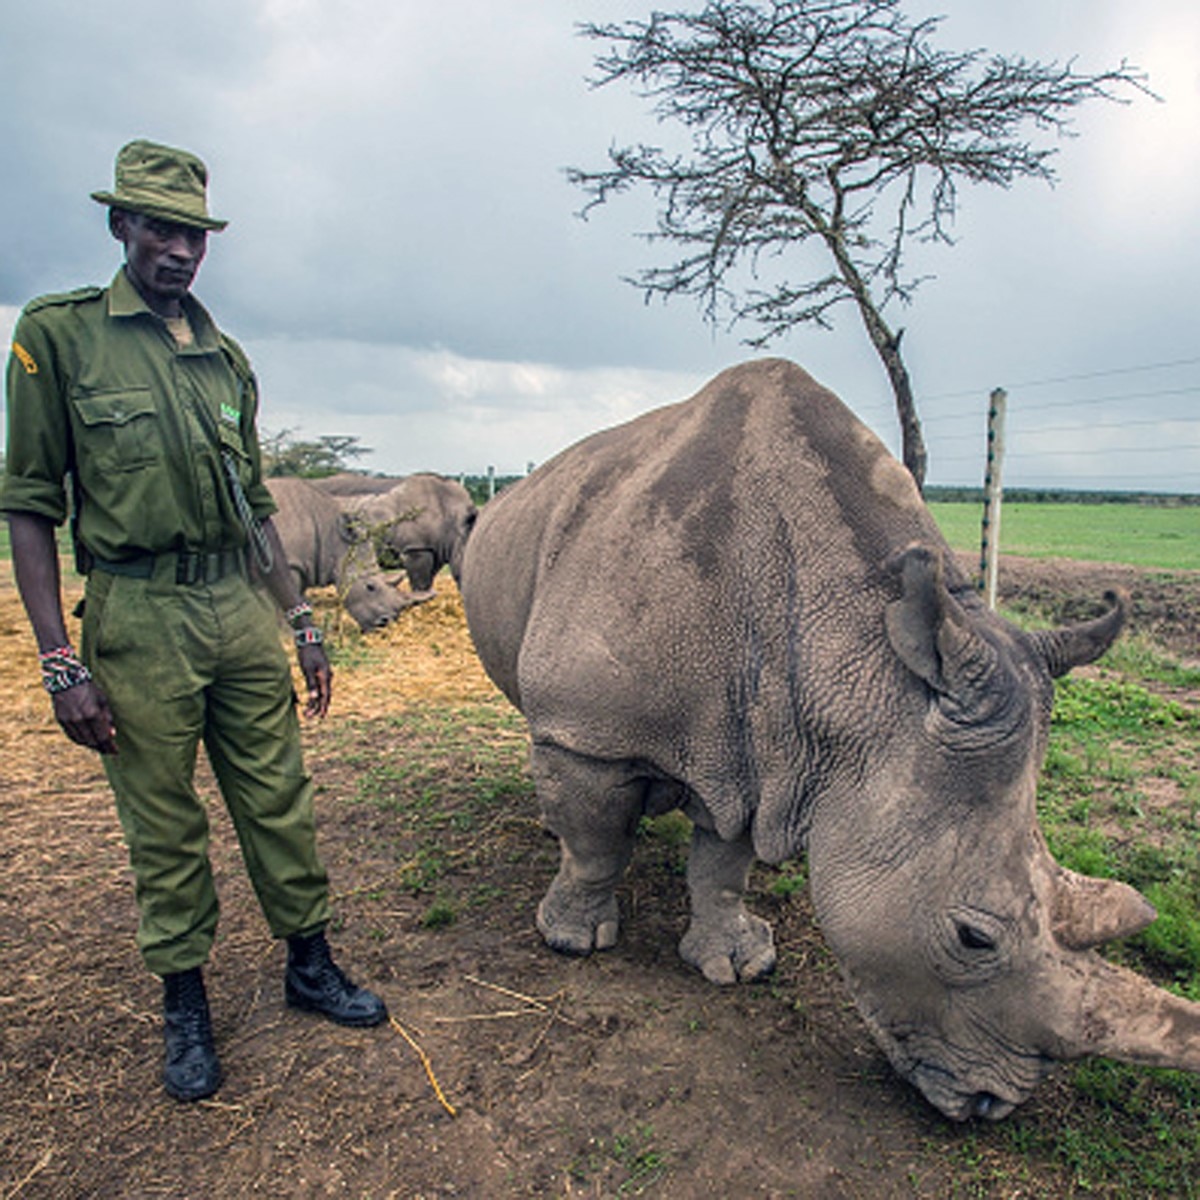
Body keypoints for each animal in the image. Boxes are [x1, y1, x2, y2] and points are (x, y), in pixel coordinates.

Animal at [266, 477, 430, 631]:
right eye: (370, 587)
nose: (384, 622)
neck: (331, 538)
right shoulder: (290, 564)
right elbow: (286, 603)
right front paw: (287, 634)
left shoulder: (303, 565)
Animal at [460, 358, 1200, 1121]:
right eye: (973, 938)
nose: (990, 1106)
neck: (861, 660)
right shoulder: (590, 733)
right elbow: (597, 843)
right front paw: (572, 941)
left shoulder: (761, 746)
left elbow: (723, 863)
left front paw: (736, 964)